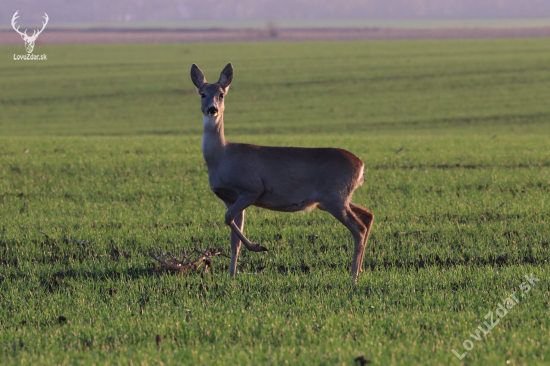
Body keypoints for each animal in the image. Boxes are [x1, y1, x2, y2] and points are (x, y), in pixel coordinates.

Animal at [190, 63, 376, 280]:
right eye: (202, 94)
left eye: (221, 94)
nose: (213, 109)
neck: (221, 156)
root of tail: (361, 164)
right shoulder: (230, 198)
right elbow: (233, 239)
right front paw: (231, 275)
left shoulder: (251, 189)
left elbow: (228, 220)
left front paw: (259, 247)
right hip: (334, 199)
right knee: (368, 216)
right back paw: (359, 270)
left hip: (334, 198)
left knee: (359, 229)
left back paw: (353, 275)